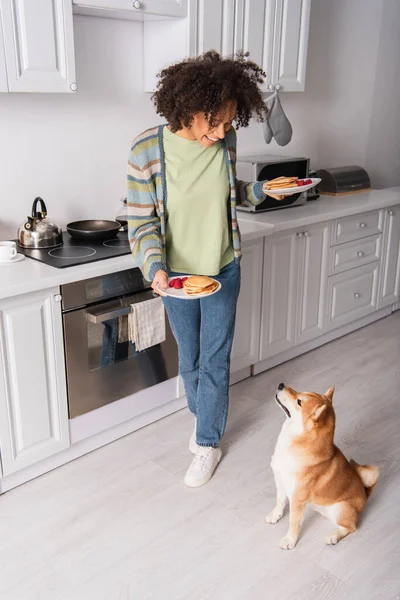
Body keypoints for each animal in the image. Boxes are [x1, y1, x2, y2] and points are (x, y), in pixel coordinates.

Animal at [268, 384, 380, 548]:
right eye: (301, 392)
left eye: (299, 401)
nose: (281, 385)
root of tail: (365, 495)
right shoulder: (281, 480)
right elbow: (279, 502)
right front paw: (275, 515)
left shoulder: (297, 498)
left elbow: (293, 522)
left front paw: (290, 540)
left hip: (340, 509)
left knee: (351, 527)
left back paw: (333, 536)